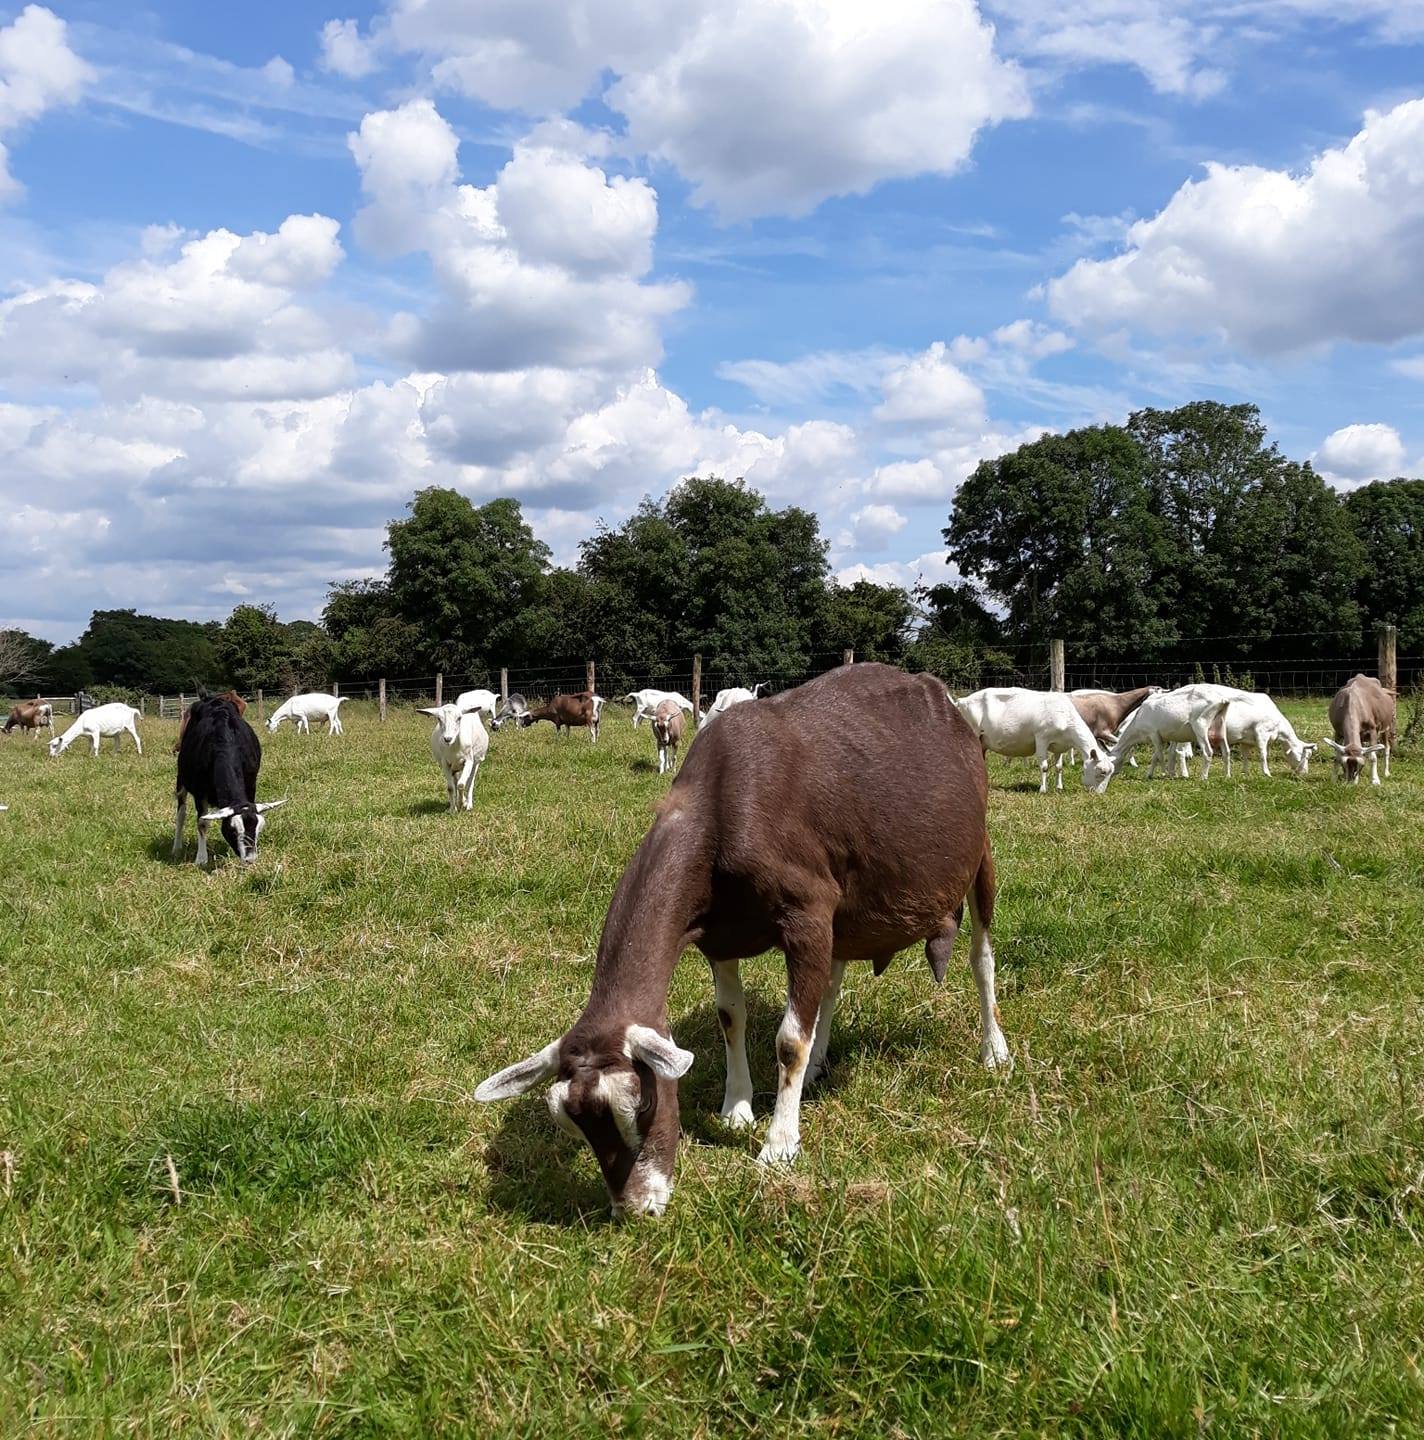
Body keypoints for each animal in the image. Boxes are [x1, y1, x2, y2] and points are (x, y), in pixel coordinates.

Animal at [173, 696, 284, 865]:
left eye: (259, 829)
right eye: (233, 830)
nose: (250, 859)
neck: (225, 741)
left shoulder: (251, 785)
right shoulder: (200, 792)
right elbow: (202, 822)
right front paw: (201, 858)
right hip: (181, 778)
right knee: (181, 812)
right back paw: (177, 847)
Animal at [476, 664, 1004, 1218]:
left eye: (640, 1103)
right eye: (570, 1124)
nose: (637, 1208)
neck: (720, 805)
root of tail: (942, 698)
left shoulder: (809, 913)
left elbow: (790, 1040)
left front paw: (778, 1146)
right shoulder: (720, 935)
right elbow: (732, 1017)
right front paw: (737, 1108)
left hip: (979, 852)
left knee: (981, 956)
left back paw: (994, 1051)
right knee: (832, 983)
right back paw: (820, 1065)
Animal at [955, 687, 1115, 793]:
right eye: (1101, 771)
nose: (1099, 794)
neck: (1064, 716)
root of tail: (961, 701)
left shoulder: (1059, 746)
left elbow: (1059, 767)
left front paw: (1059, 787)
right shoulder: (1042, 738)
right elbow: (1044, 766)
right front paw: (1043, 789)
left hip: (981, 741)